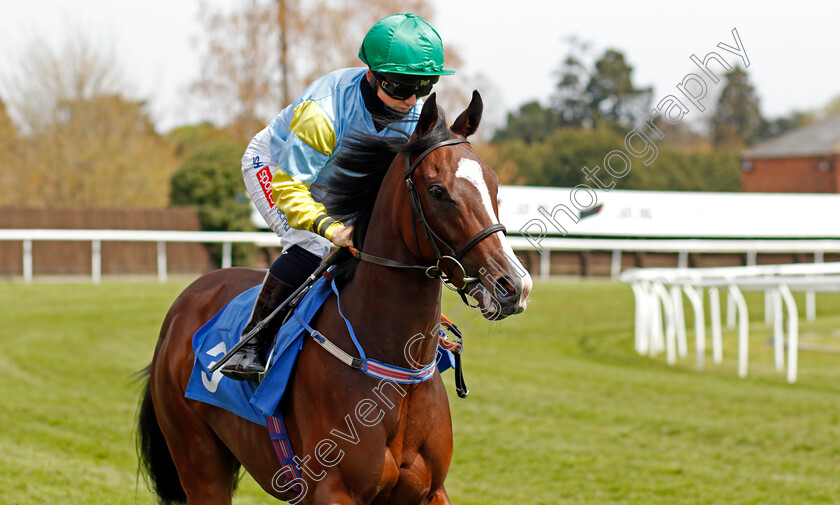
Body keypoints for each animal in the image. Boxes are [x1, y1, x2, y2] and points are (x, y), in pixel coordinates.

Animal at [137, 91, 532, 504]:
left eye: (495, 186)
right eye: (438, 191)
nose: (512, 284)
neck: (395, 376)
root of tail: (183, 306)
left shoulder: (430, 491)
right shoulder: (332, 490)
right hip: (198, 461)